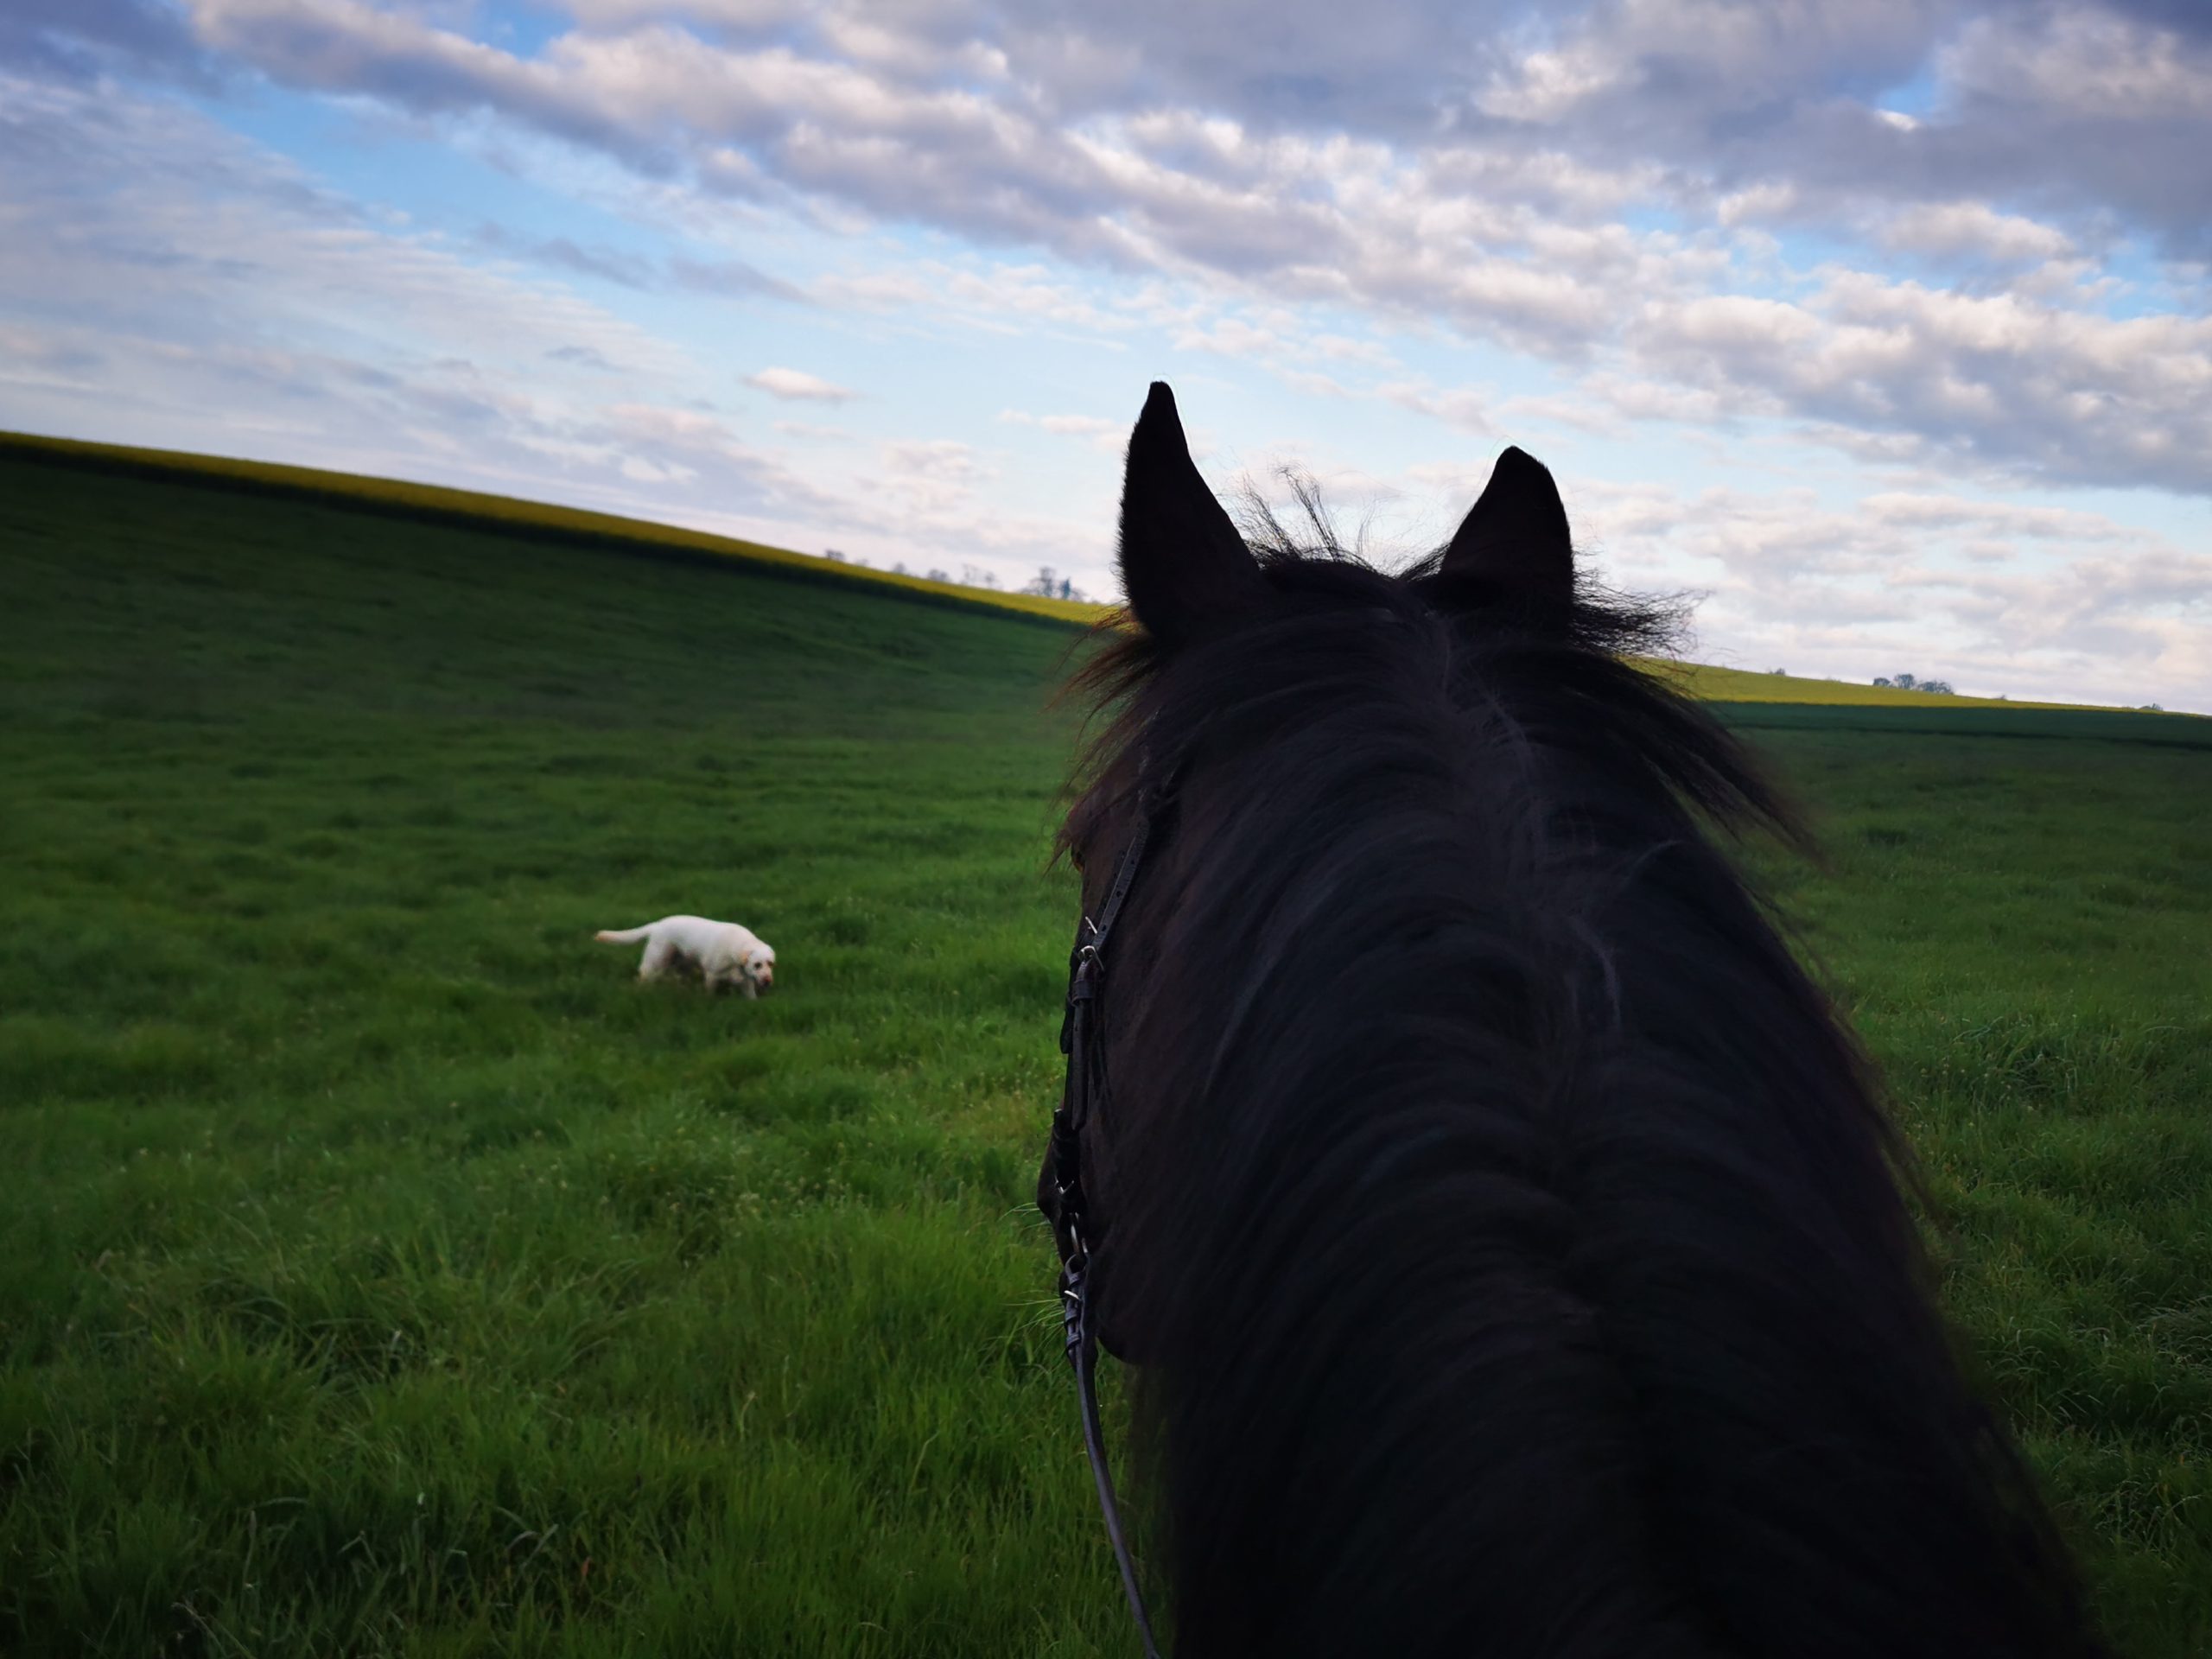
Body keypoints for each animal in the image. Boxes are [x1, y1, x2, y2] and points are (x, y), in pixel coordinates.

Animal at [597, 925, 779, 1000]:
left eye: (770, 963)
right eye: (757, 964)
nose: (768, 981)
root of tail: (658, 924)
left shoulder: (747, 984)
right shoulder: (711, 977)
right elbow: (709, 993)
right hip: (656, 961)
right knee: (642, 977)